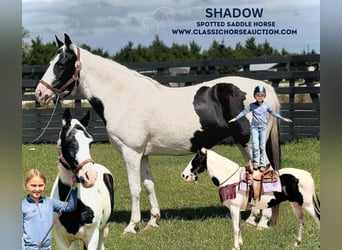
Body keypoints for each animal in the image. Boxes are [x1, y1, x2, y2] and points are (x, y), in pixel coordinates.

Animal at [36, 32, 284, 232]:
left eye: (61, 64)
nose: (40, 93)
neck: (121, 95)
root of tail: (265, 89)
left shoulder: (131, 153)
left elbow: (135, 188)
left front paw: (132, 226)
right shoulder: (143, 154)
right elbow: (148, 185)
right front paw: (152, 221)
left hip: (251, 143)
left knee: (266, 175)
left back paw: (263, 222)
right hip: (246, 145)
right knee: (253, 175)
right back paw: (252, 219)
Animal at [50, 109, 115, 250]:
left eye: (90, 142)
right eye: (69, 141)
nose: (89, 176)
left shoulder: (92, 237)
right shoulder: (61, 238)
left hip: (102, 230)